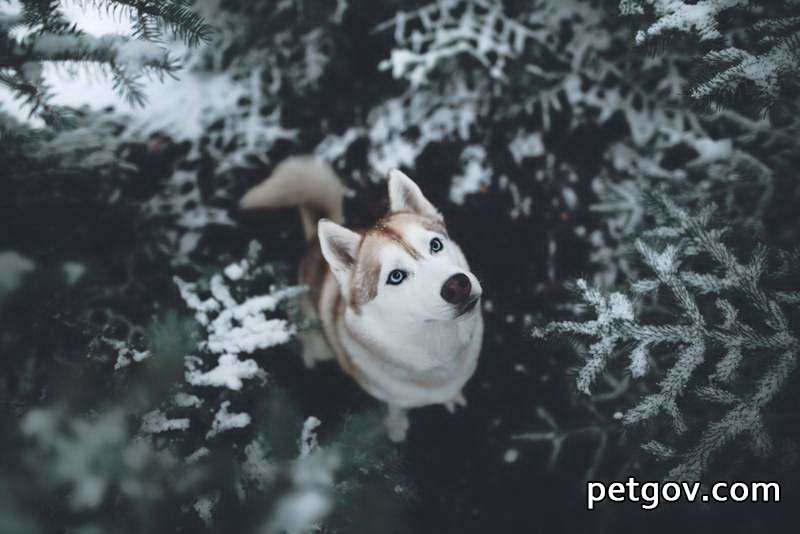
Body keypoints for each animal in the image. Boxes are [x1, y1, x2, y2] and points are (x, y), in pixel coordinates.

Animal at [239, 157, 482, 442]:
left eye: (435, 245)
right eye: (396, 276)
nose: (458, 286)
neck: (437, 352)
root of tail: (312, 245)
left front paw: (452, 397)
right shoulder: (387, 393)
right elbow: (396, 407)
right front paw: (397, 427)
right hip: (319, 342)